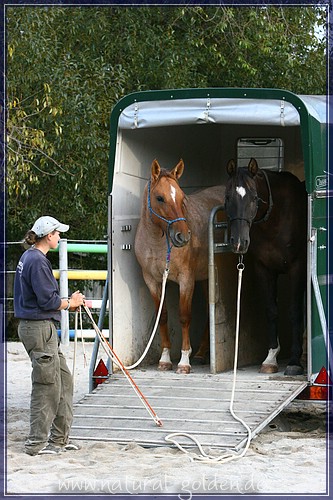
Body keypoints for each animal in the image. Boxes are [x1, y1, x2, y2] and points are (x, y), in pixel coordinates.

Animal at [134, 158, 224, 374]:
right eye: (159, 198)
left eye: (183, 198)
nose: (182, 237)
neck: (156, 243)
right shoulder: (152, 281)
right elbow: (163, 316)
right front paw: (165, 359)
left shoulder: (186, 279)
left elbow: (184, 317)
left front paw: (184, 361)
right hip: (204, 278)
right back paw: (200, 353)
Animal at [223, 157, 306, 376]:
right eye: (227, 197)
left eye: (254, 198)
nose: (239, 243)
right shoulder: (264, 269)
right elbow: (271, 310)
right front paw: (271, 358)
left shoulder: (297, 268)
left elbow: (294, 311)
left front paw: (294, 361)